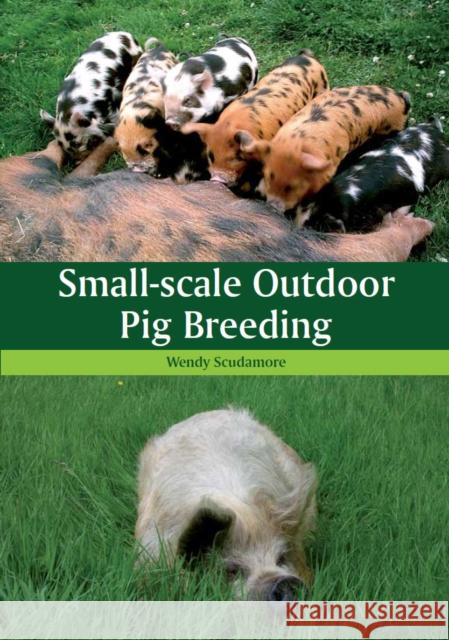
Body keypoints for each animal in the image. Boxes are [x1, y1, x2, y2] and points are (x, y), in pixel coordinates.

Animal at [238, 85, 411, 213]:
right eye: (268, 177)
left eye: (293, 186)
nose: (272, 207)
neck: (298, 143)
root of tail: (401, 97)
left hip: (393, 127)